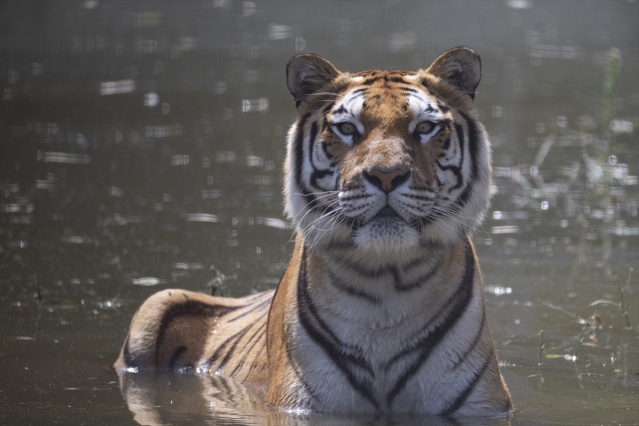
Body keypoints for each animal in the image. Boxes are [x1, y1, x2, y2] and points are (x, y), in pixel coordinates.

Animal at [115, 46, 512, 416]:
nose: (386, 175)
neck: (386, 284)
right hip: (155, 304)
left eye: (425, 128)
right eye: (348, 129)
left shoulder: (480, 406)